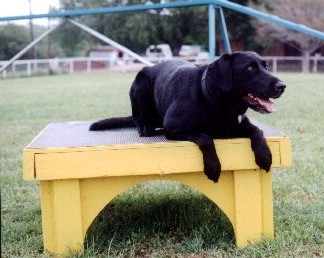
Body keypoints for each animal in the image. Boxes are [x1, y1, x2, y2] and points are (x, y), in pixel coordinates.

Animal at [90, 51, 284, 182]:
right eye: (250, 68)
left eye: (266, 66)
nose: (282, 86)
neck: (213, 102)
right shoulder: (173, 128)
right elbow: (205, 137)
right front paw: (213, 167)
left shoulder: (239, 123)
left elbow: (257, 130)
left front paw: (265, 155)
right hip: (140, 82)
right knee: (139, 119)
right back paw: (145, 127)